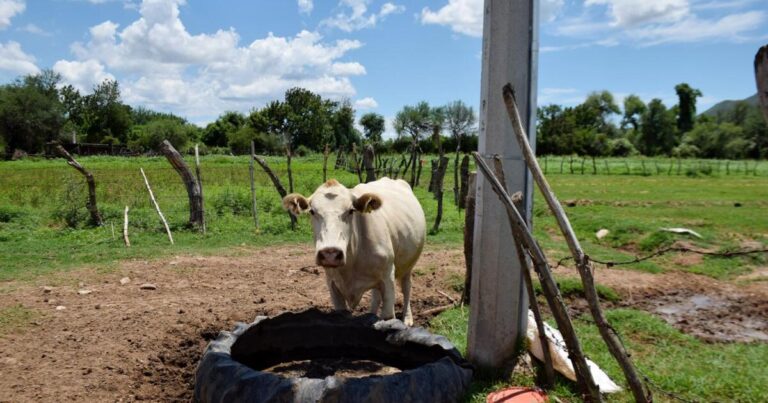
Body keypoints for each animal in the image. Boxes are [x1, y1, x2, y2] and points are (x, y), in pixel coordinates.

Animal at [282, 177, 426, 326]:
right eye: (312, 211)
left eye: (351, 210)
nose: (330, 253)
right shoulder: (333, 284)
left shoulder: (387, 276)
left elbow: (388, 315)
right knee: (376, 294)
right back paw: (371, 314)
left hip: (409, 265)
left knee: (406, 288)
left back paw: (407, 318)